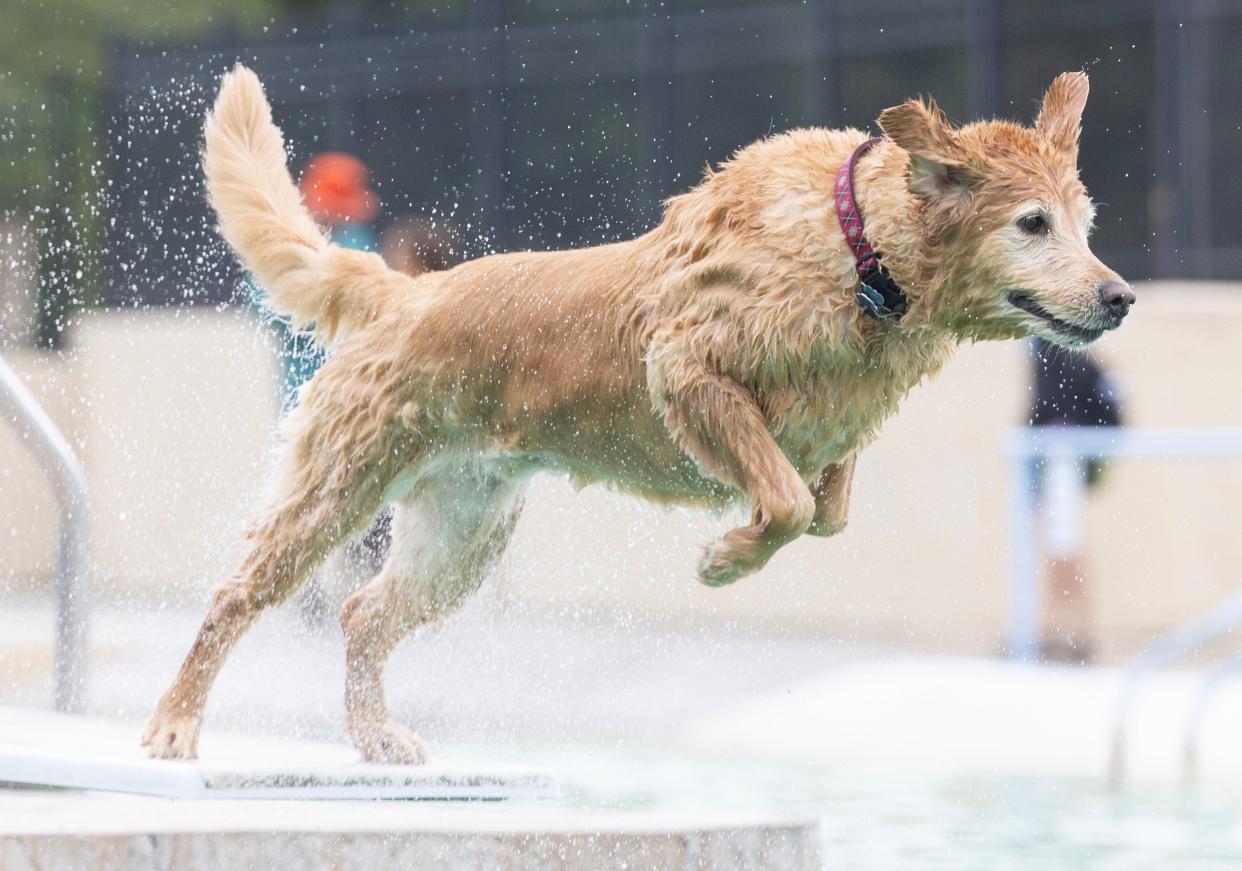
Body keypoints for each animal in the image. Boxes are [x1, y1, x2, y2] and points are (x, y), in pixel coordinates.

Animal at [142, 66, 1127, 760]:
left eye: (1084, 223)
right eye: (1032, 224)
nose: (1119, 297)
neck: (859, 255)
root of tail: (399, 288)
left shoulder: (841, 425)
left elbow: (828, 509)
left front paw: (754, 540)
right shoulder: (687, 371)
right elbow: (787, 502)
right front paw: (726, 559)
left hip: (464, 536)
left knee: (362, 614)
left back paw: (375, 734)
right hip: (339, 481)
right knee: (237, 594)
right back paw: (175, 724)